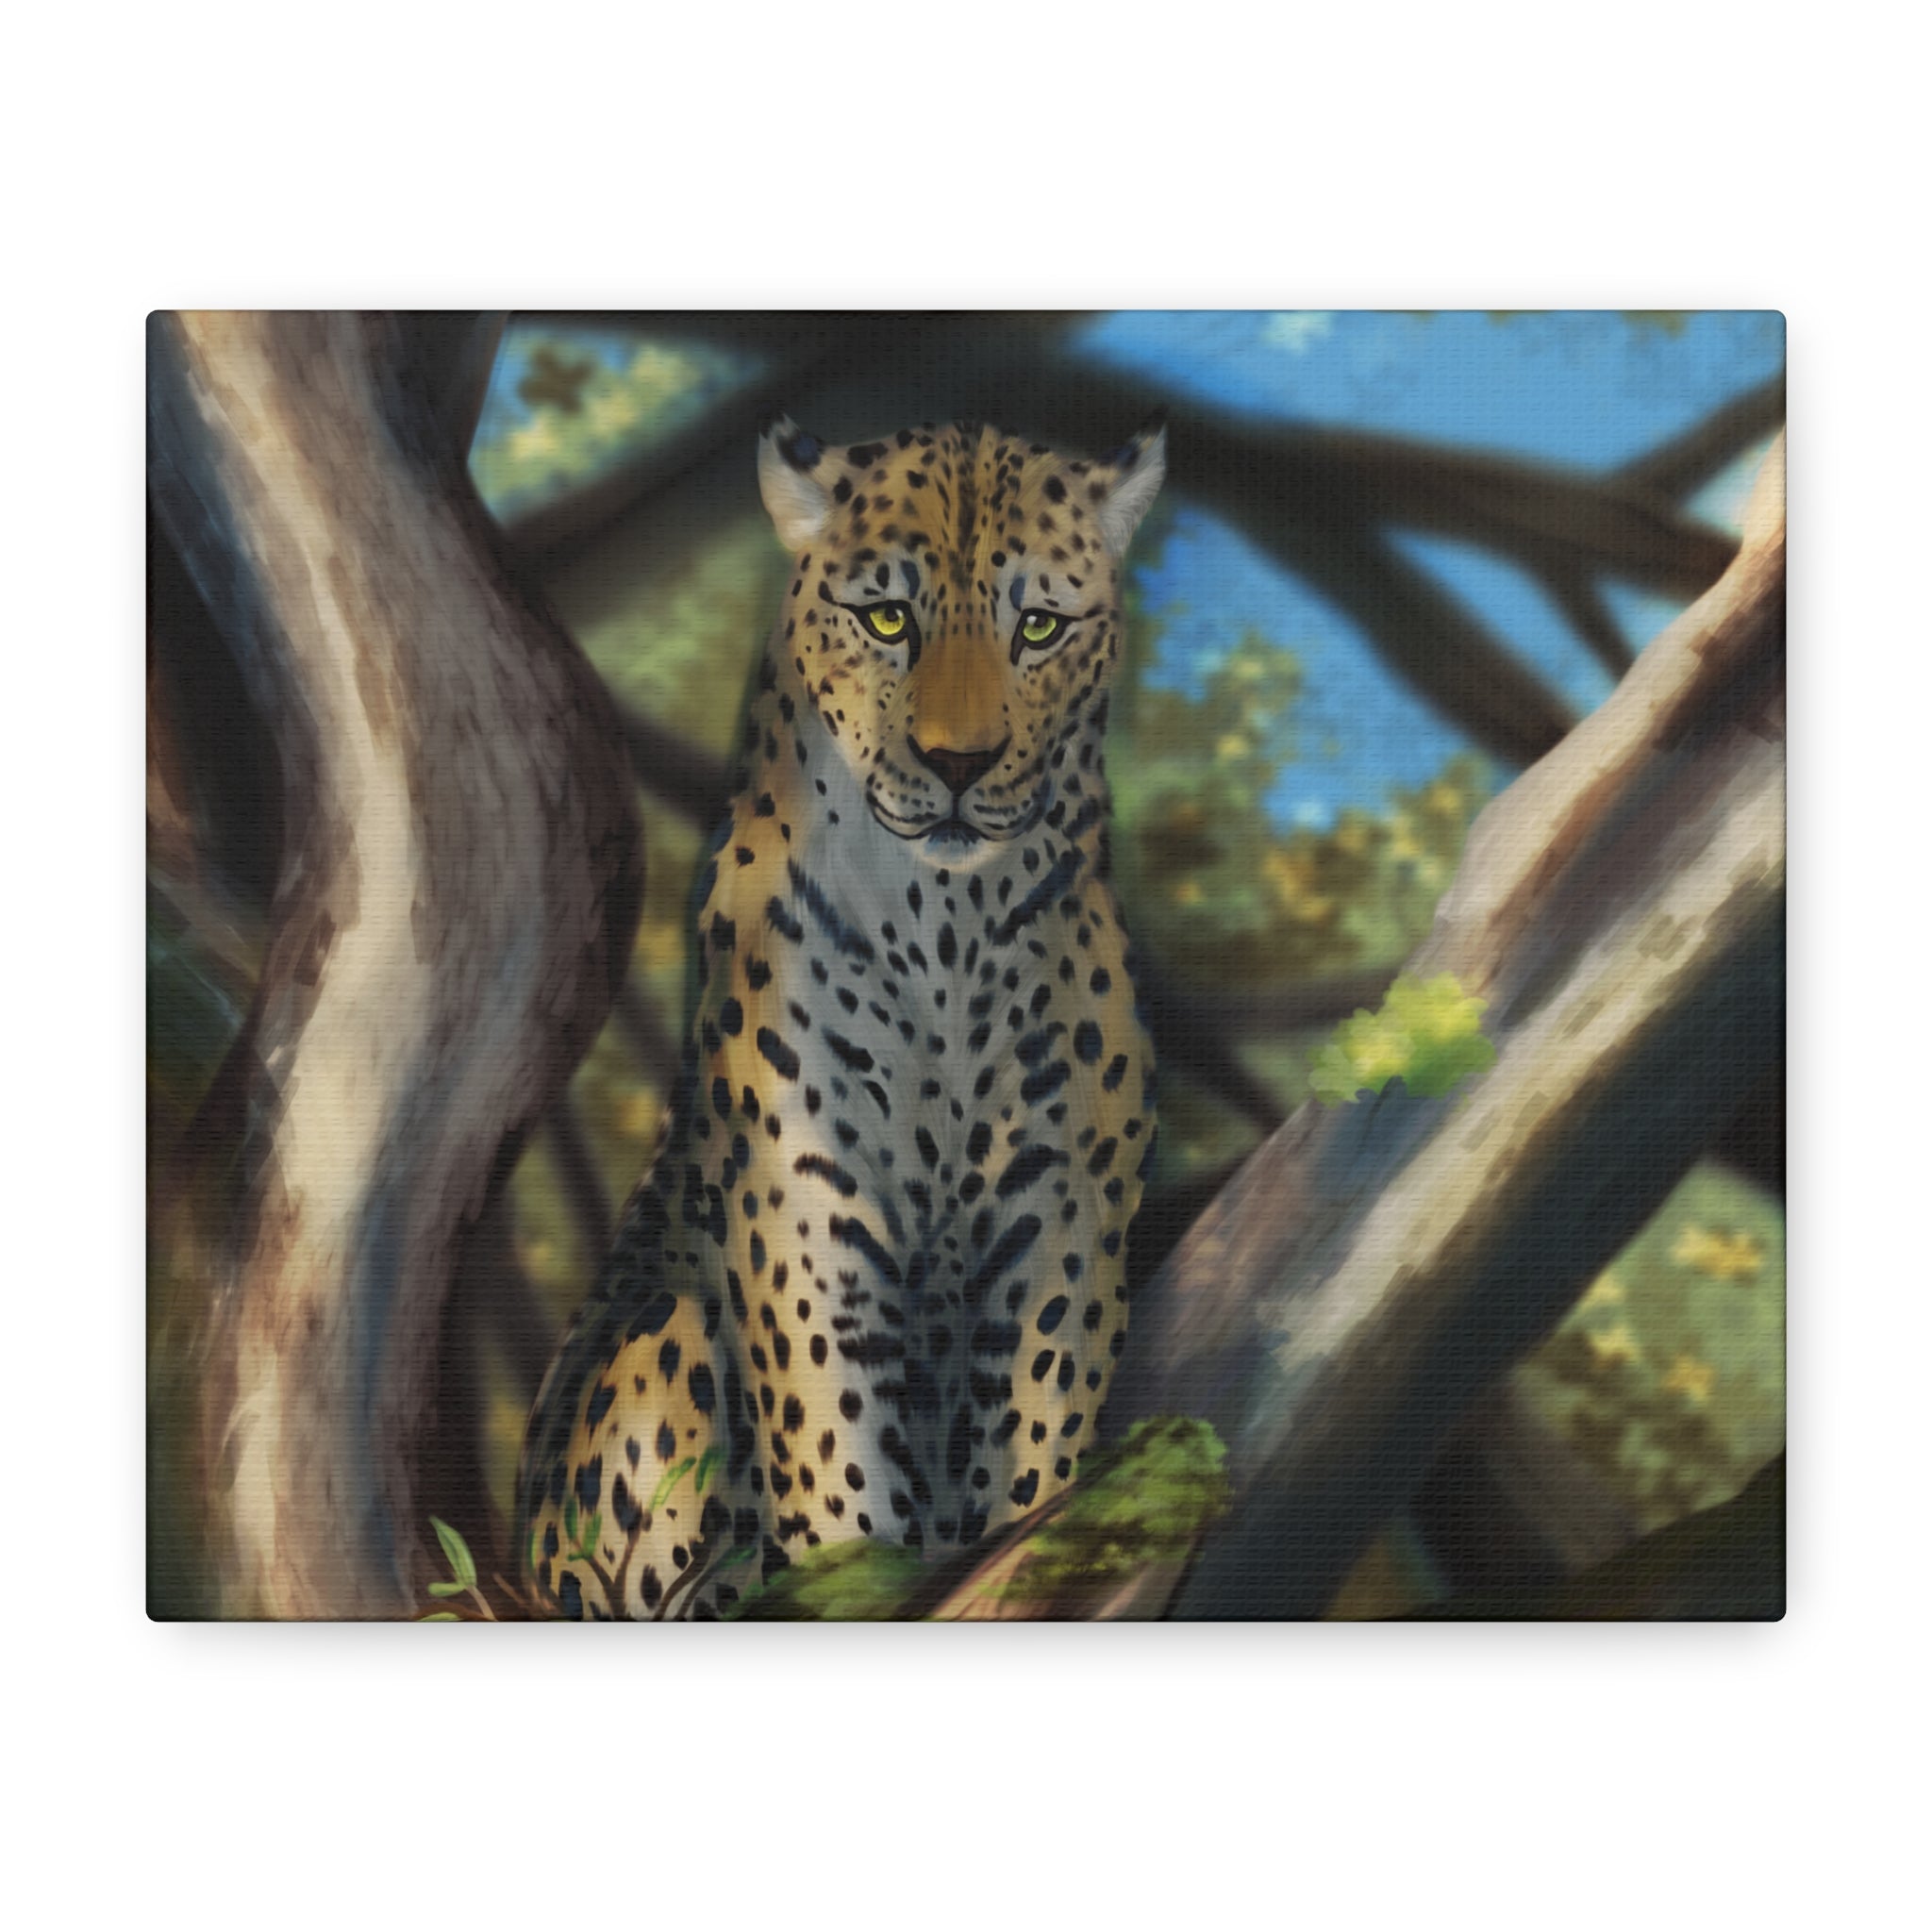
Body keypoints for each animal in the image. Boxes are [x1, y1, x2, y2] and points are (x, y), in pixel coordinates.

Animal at [516, 411, 1167, 1618]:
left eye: (1039, 627)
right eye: (886, 618)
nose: (958, 764)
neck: (946, 924)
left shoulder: (1059, 1212)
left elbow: (1036, 1439)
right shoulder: (806, 1211)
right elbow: (838, 1470)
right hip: (659, 1346)